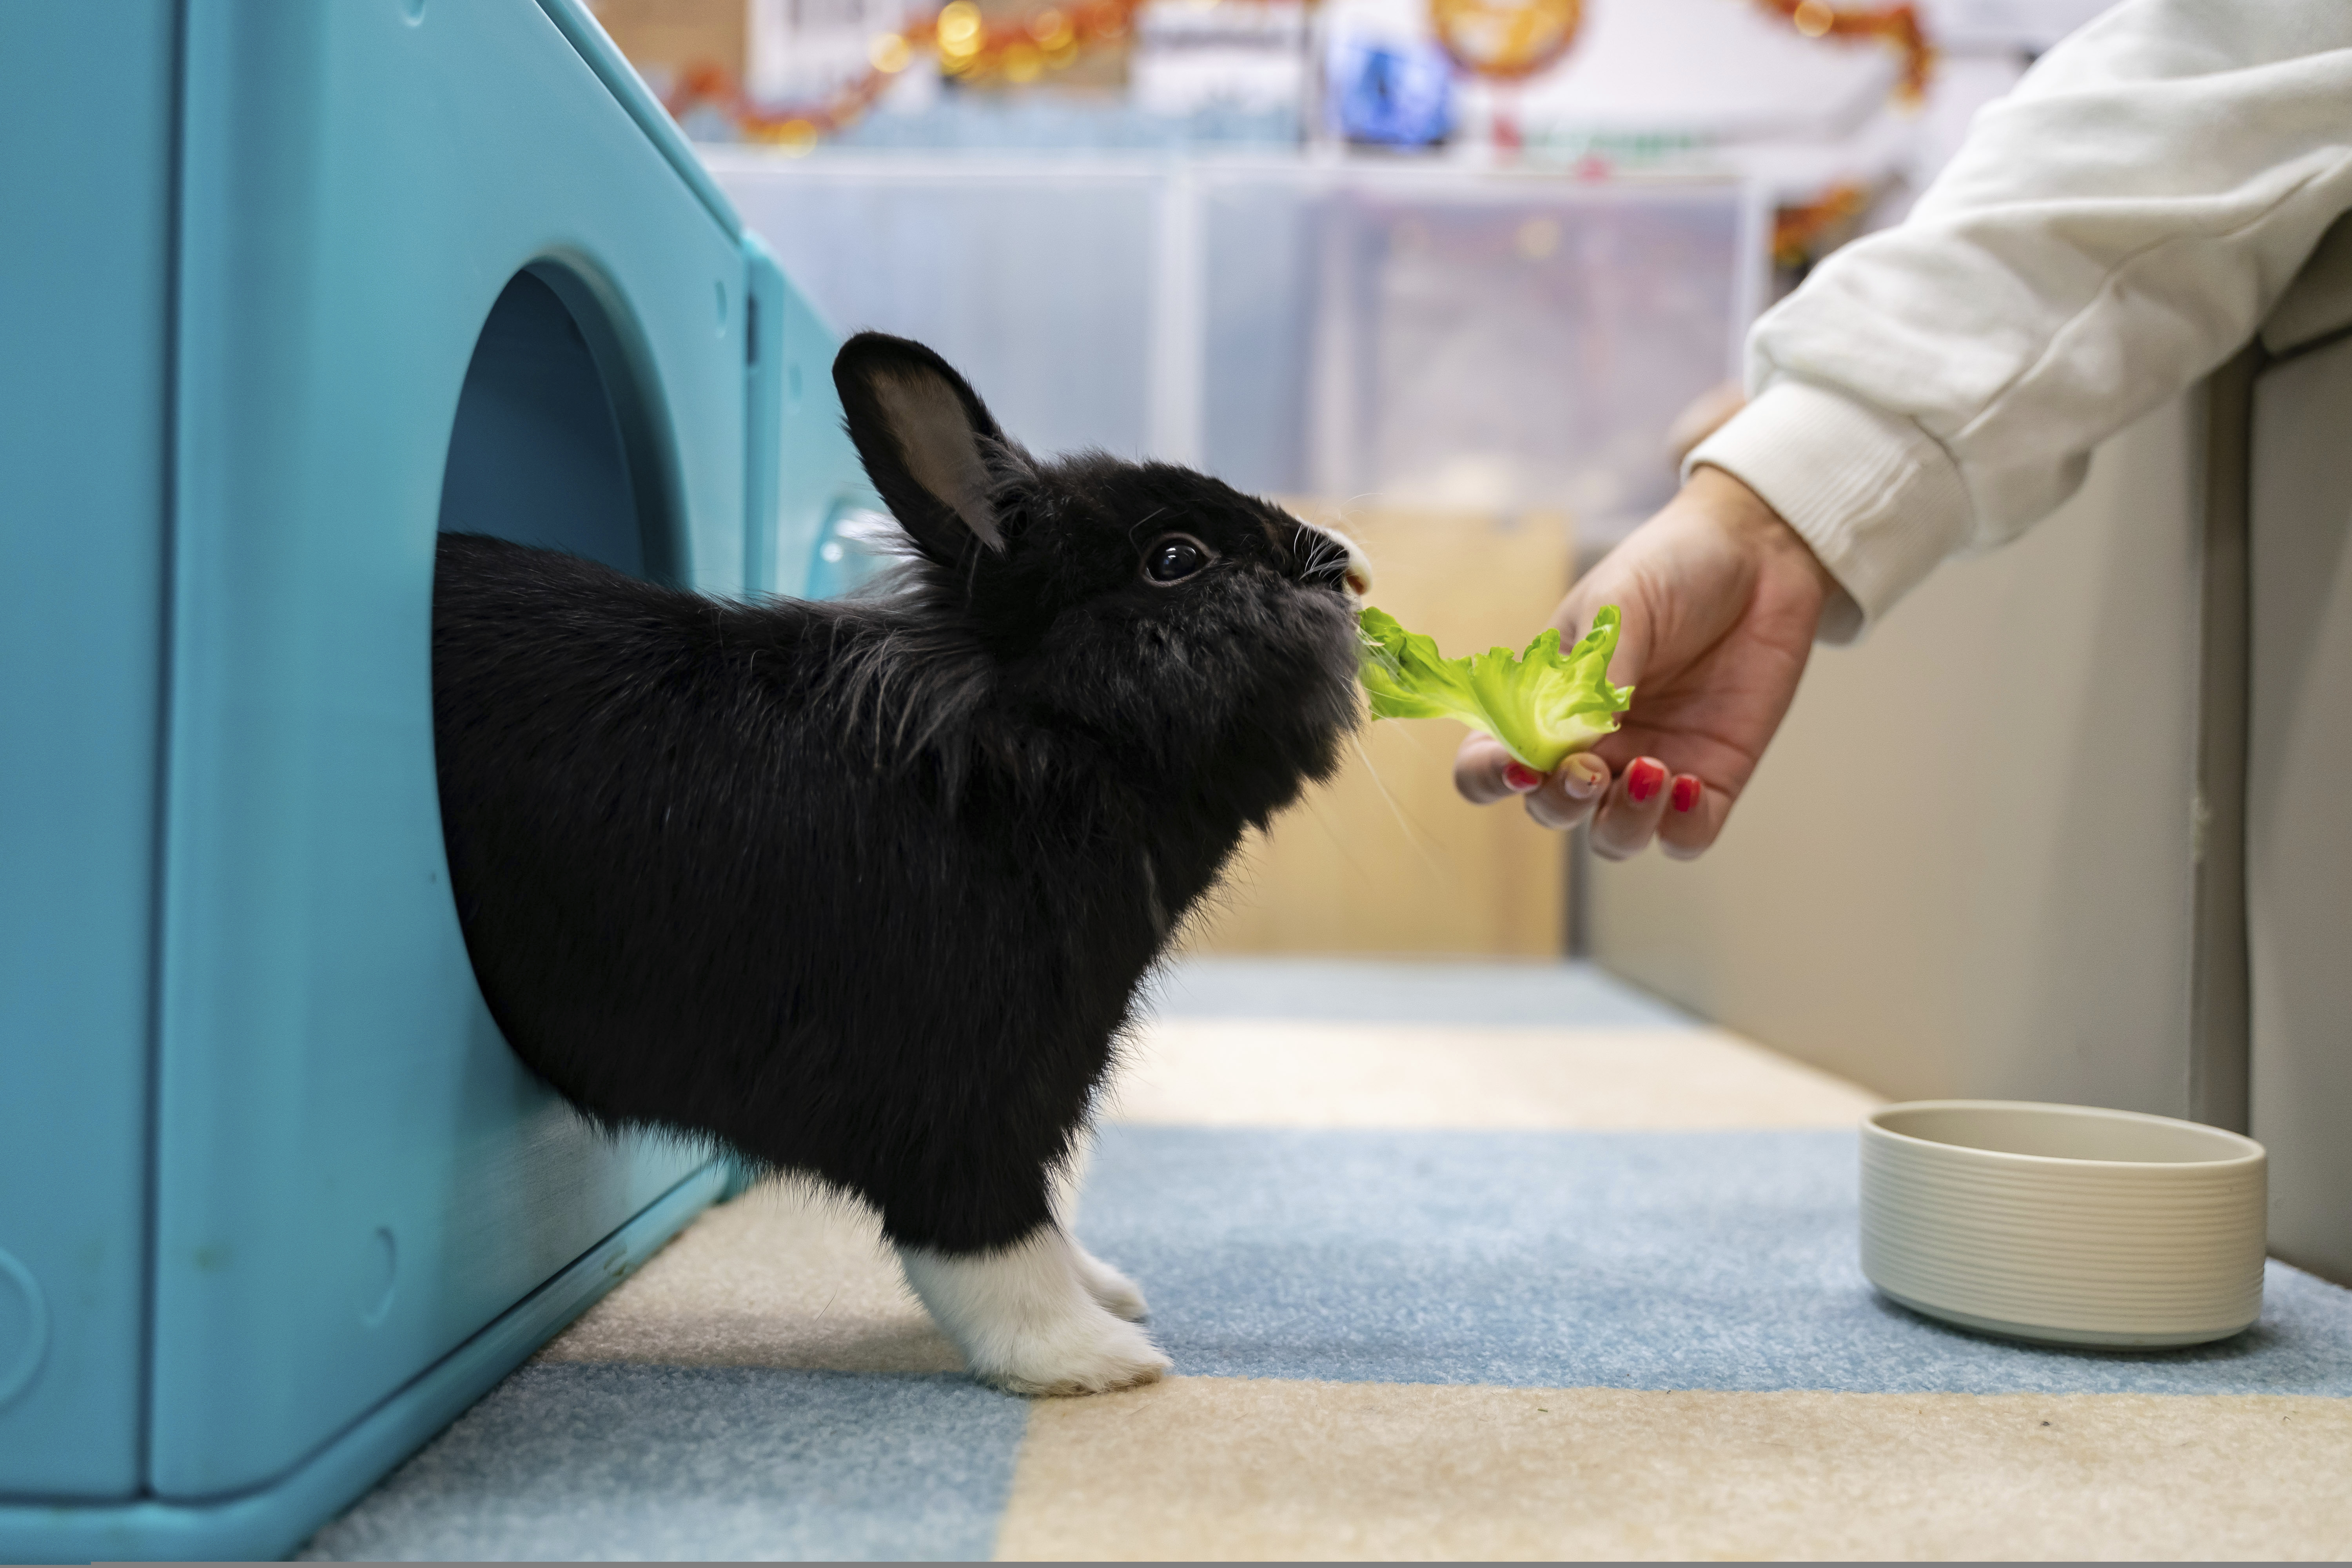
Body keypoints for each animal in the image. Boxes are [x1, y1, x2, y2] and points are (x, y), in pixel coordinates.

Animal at [433, 334, 1374, 1401]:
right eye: (1176, 560)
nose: (1346, 566)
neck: (1031, 749)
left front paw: (1107, 1289)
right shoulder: (967, 1091)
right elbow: (989, 1238)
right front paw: (1092, 1355)